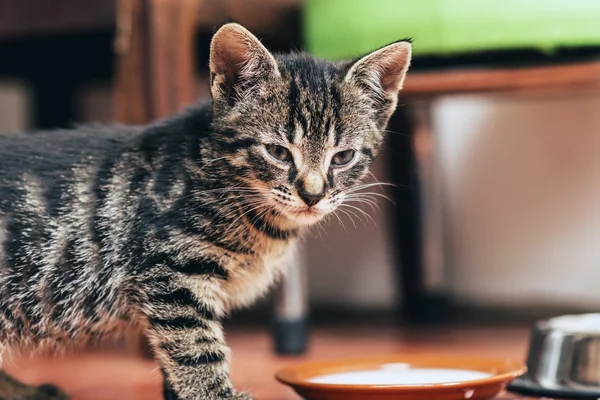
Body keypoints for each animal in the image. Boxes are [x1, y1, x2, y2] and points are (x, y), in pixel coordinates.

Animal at [0, 24, 410, 400]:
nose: (312, 195)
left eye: (343, 157)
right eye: (278, 152)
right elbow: (195, 347)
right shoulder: (169, 272)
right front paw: (215, 394)